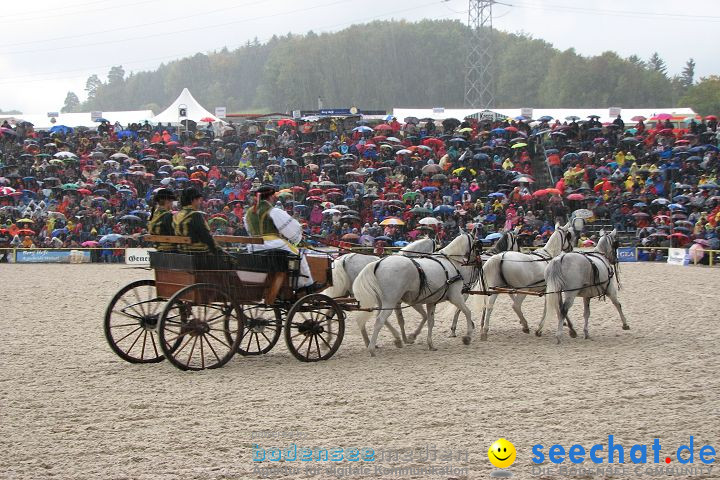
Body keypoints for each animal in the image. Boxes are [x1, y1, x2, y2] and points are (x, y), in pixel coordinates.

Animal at [354, 232, 484, 356]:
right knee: (379, 320)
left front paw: (428, 343)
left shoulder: (430, 301)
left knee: (381, 319)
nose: (479, 263)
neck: (450, 263)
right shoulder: (455, 296)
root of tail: (378, 263)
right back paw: (372, 348)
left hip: (384, 302)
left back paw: (391, 341)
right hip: (390, 301)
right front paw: (468, 336)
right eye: (477, 247)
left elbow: (430, 321)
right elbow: (467, 312)